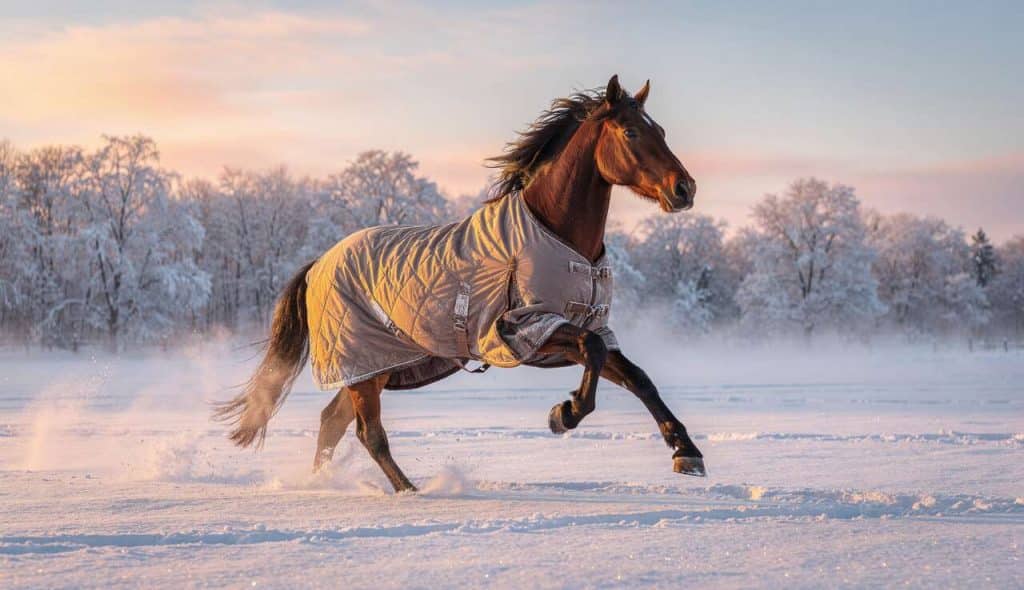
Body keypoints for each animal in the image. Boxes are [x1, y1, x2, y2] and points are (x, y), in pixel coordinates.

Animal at [214, 75, 705, 492]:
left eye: (660, 129)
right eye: (630, 133)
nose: (684, 189)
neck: (562, 240)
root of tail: (319, 263)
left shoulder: (571, 331)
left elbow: (636, 376)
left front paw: (686, 452)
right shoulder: (528, 328)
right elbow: (595, 352)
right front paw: (563, 415)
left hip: (375, 368)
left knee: (332, 422)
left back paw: (326, 483)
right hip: (363, 367)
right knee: (367, 432)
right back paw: (409, 490)